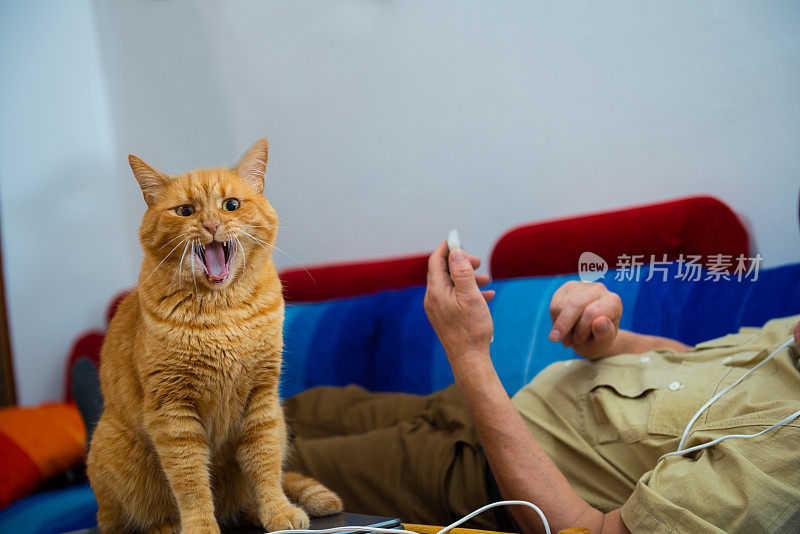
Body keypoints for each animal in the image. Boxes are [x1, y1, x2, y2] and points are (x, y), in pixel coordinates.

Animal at [86, 140, 340, 532]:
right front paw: (200, 526)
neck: (224, 313)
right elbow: (190, 481)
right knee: (131, 519)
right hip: (111, 449)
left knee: (249, 496)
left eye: (231, 205)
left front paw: (278, 512)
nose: (211, 224)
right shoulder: (173, 412)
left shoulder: (262, 400)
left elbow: (265, 466)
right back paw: (167, 526)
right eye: (185, 211)